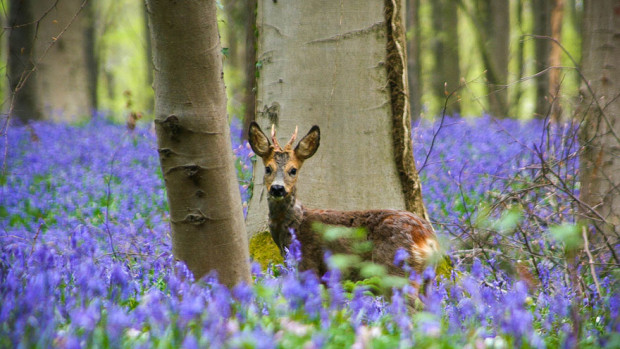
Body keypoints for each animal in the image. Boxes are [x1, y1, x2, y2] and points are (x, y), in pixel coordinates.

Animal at [249, 122, 438, 282]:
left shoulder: (308, 263)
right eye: (268, 168)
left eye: (293, 170)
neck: (293, 225)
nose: (277, 188)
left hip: (395, 267)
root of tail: (430, 239)